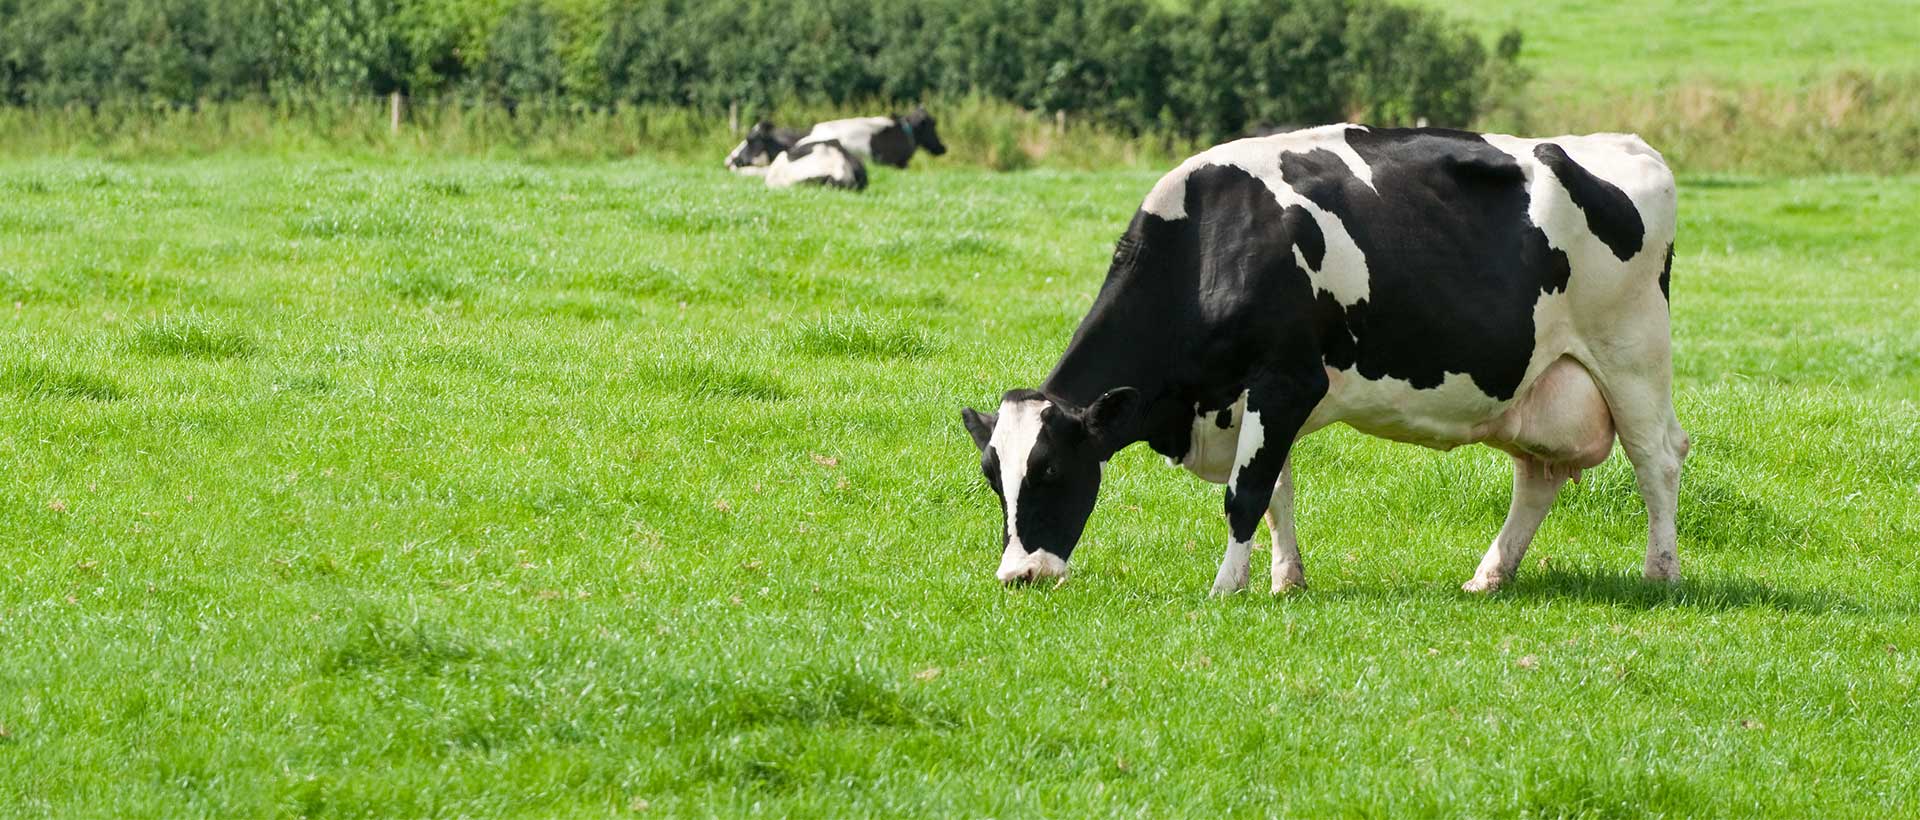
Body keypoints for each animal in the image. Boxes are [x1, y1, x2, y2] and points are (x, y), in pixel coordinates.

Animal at [960, 123, 1681, 595]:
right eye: (995, 479)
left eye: (1052, 471)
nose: (1018, 575)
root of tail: (1627, 143)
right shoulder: (1253, 397)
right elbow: (1276, 489)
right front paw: (1286, 579)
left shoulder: (1287, 378)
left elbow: (1245, 494)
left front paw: (1226, 588)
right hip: (1541, 381)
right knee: (1537, 478)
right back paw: (1489, 575)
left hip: (1631, 353)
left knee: (1658, 458)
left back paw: (1660, 573)